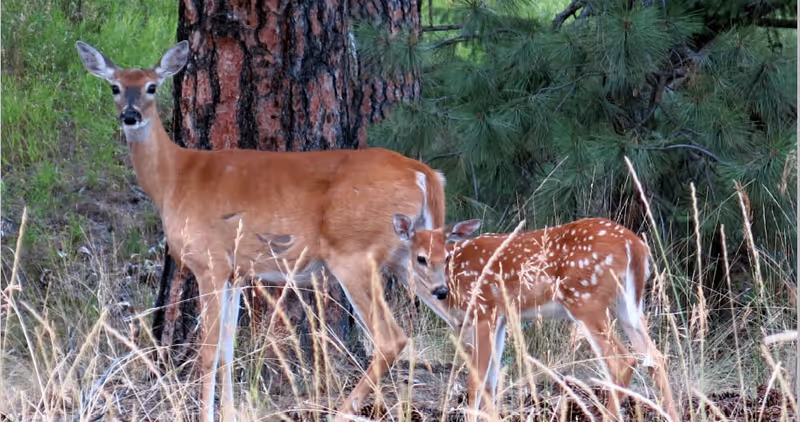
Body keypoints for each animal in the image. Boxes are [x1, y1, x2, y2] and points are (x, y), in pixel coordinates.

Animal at [75, 40, 462, 422]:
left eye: (152, 87)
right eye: (115, 86)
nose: (130, 116)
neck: (175, 179)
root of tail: (426, 173)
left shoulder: (209, 261)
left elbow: (208, 351)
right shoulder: (235, 271)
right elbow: (227, 351)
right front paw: (229, 413)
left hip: (354, 252)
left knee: (391, 338)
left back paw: (341, 411)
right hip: (413, 257)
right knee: (461, 321)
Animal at [393, 216, 680, 422]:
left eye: (445, 258)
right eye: (421, 258)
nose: (439, 290)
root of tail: (635, 246)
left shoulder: (484, 310)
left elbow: (476, 382)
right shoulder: (501, 318)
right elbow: (492, 383)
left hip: (586, 300)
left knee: (623, 361)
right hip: (628, 305)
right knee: (655, 358)